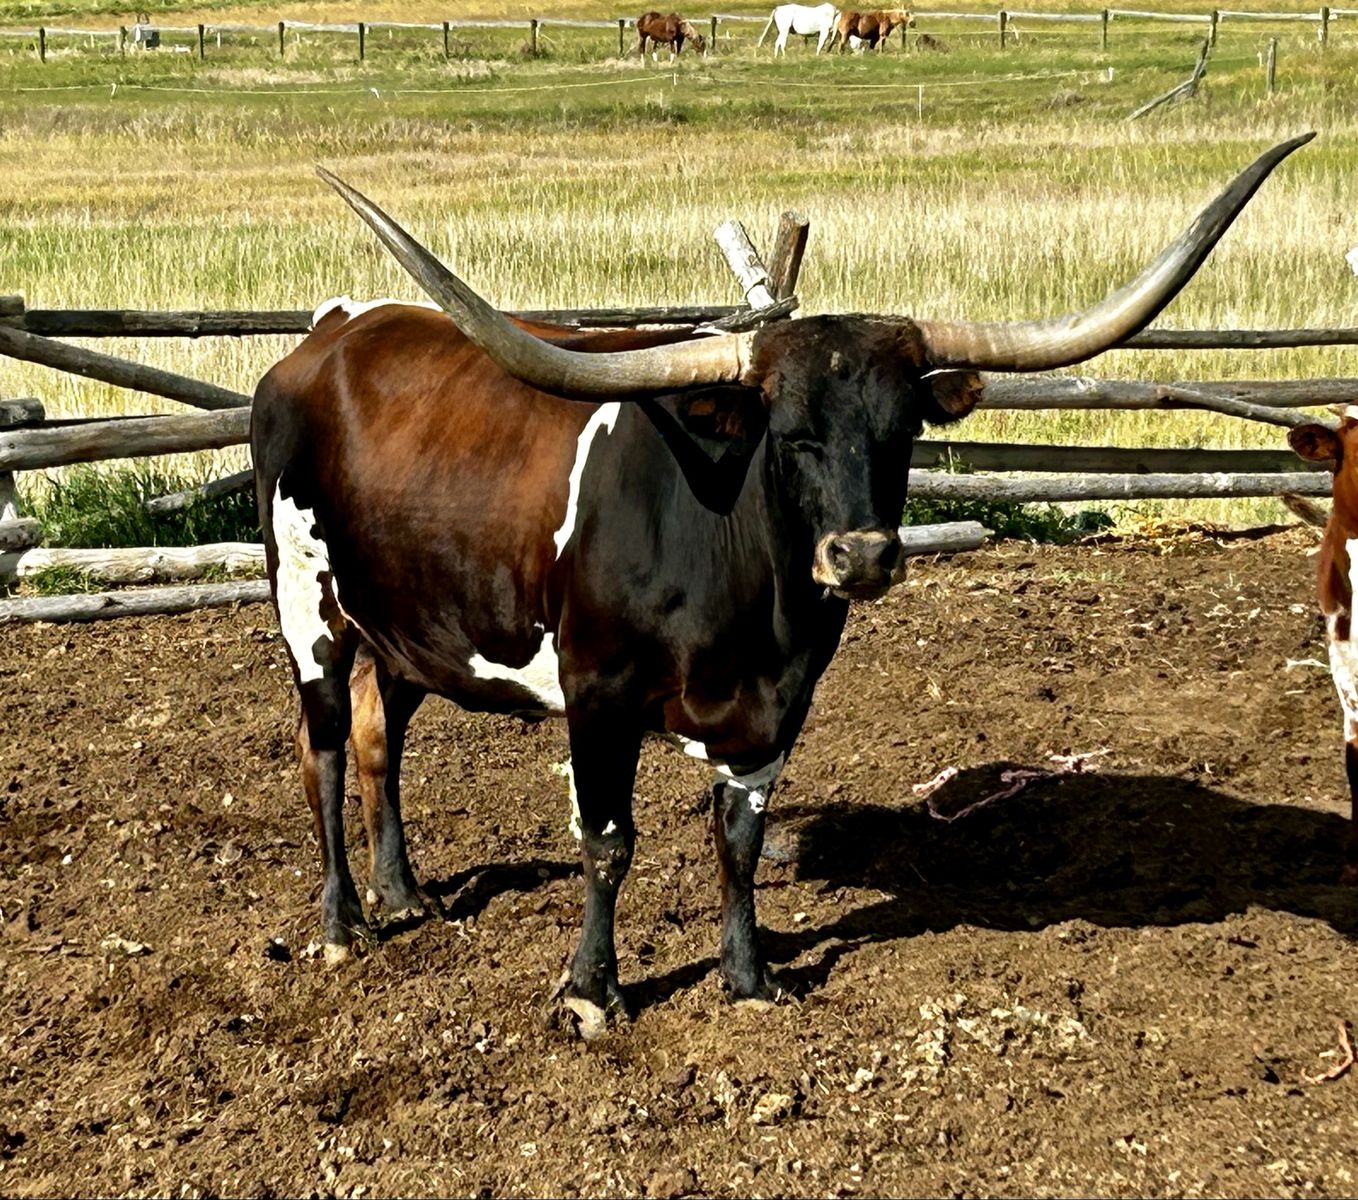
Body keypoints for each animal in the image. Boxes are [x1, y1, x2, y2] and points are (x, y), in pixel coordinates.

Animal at [251, 135, 1308, 1038]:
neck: (750, 609)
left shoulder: (781, 706)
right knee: (328, 751)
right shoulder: (597, 694)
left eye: (902, 430)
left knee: (383, 737)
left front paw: (748, 976)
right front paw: (592, 992)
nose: (862, 557)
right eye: (789, 433)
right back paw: (343, 925)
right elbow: (608, 840)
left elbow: (740, 839)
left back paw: (403, 893)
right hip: (308, 606)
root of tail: (328, 335)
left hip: (402, 622)